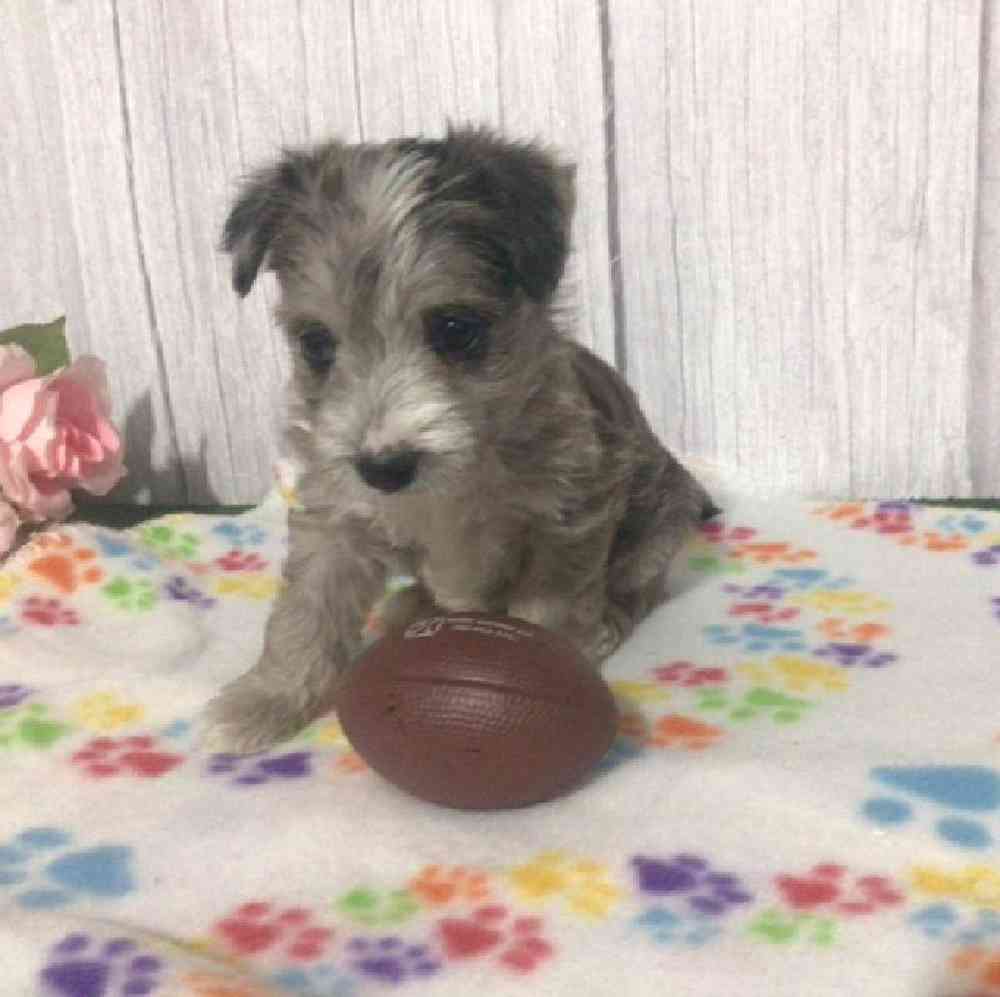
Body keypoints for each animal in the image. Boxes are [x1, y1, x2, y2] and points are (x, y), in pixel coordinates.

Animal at [199, 124, 716, 752]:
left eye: (456, 329)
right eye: (316, 344)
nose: (383, 467)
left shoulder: (569, 517)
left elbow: (550, 608)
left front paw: (555, 666)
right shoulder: (334, 518)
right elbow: (305, 613)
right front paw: (263, 701)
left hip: (659, 523)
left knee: (639, 583)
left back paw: (608, 622)